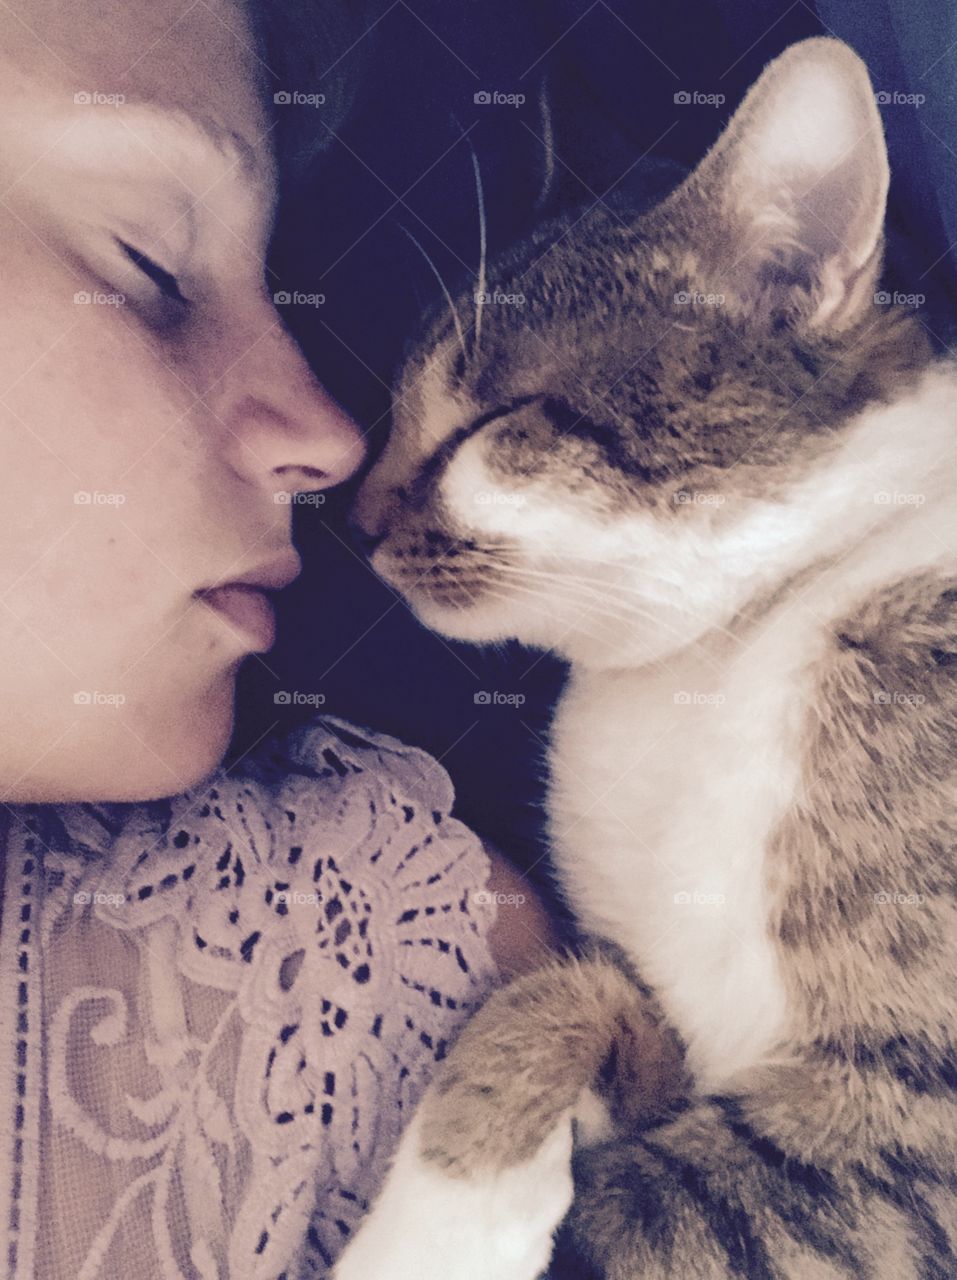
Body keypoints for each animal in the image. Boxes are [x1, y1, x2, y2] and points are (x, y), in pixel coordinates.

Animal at [332, 37, 951, 1280]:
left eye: (496, 420)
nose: (351, 519)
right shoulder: (659, 1005)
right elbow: (562, 990)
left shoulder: (901, 1122)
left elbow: (659, 1212)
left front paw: (414, 1246)